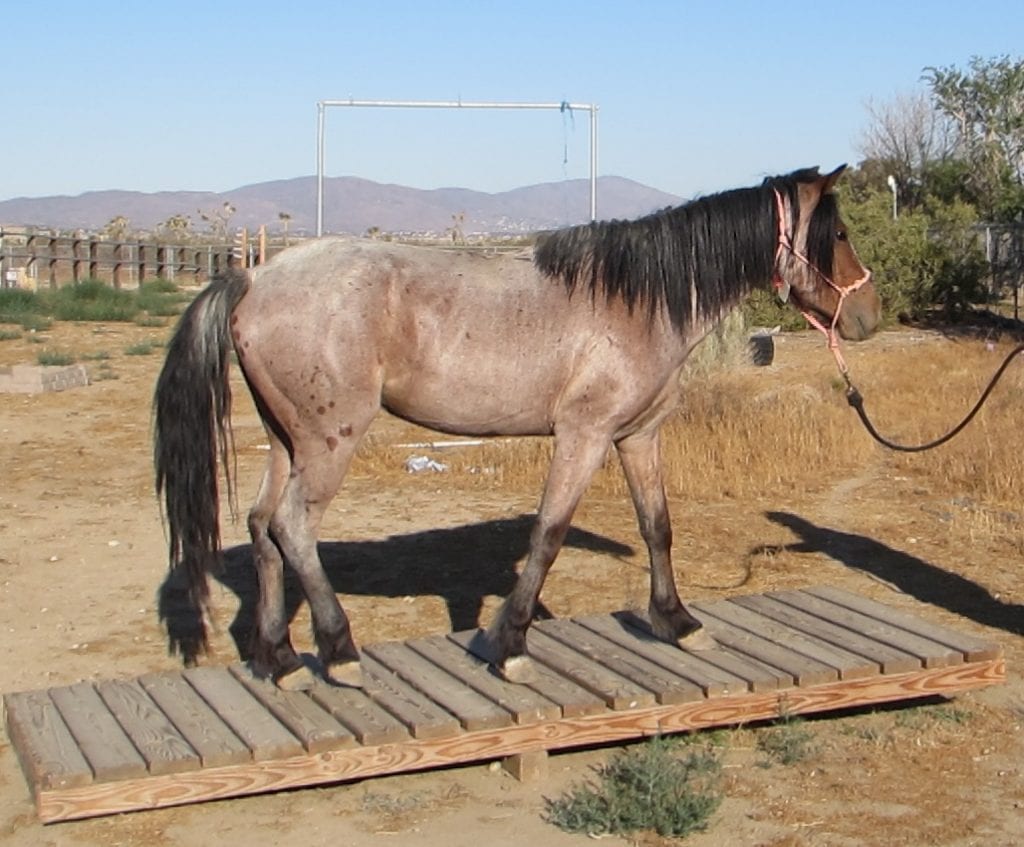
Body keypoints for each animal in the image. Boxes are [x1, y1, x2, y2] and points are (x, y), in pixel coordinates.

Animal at [151, 163, 880, 688]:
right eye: (839, 235)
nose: (868, 313)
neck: (637, 299)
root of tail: (253, 279)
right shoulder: (584, 437)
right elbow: (548, 534)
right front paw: (508, 642)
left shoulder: (637, 437)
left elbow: (657, 526)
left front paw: (676, 620)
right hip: (330, 443)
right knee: (293, 528)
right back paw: (341, 650)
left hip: (288, 441)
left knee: (261, 527)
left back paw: (279, 658)